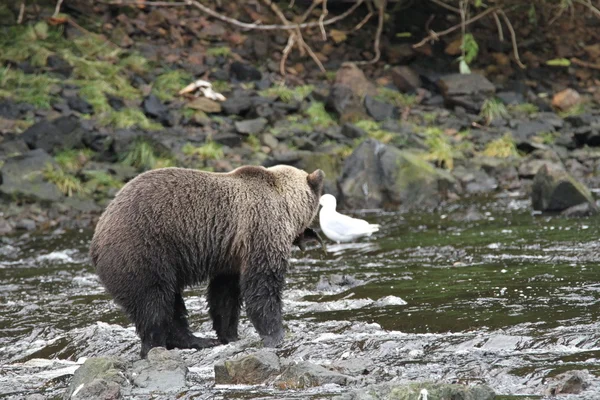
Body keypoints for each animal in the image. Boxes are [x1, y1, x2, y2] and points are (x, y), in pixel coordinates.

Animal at [89, 164, 324, 358]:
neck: (285, 203)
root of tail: (96, 237)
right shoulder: (261, 228)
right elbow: (263, 286)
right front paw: (276, 334)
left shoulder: (231, 253)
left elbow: (225, 295)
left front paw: (229, 334)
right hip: (143, 252)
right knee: (153, 302)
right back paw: (158, 346)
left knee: (171, 303)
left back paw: (197, 340)